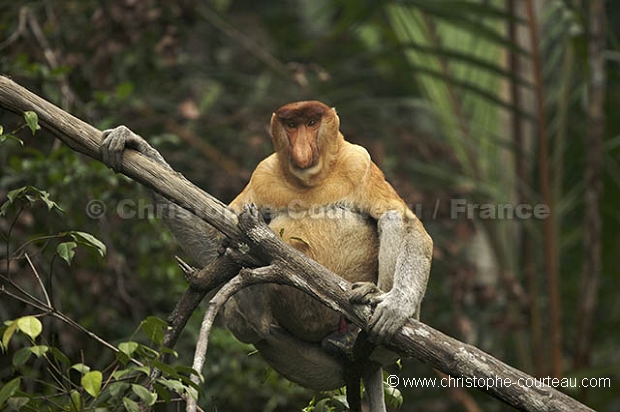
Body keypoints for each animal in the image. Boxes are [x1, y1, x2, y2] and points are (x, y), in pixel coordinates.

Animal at [100, 100, 432, 412]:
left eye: (312, 122)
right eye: (292, 124)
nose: (301, 151)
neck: (310, 181)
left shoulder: (359, 162)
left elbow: (407, 223)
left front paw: (395, 307)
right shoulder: (263, 174)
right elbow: (217, 233)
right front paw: (134, 143)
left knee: (391, 220)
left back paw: (367, 319)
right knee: (247, 321)